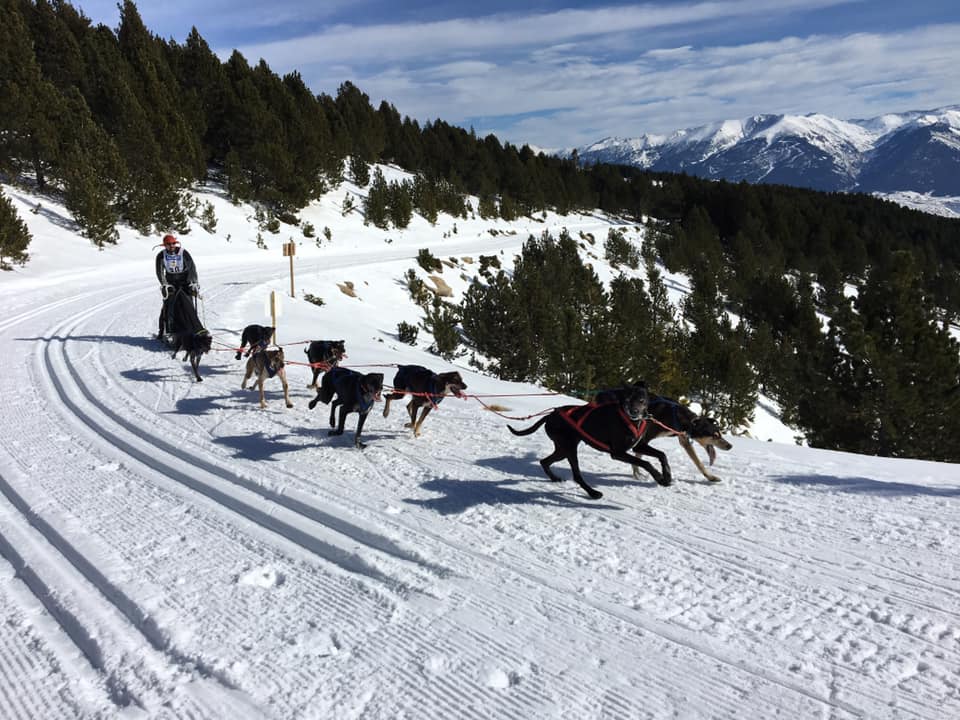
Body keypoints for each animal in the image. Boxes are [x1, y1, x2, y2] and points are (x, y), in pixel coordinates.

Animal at [502, 382, 660, 500]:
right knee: (576, 475)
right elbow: (645, 462)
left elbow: (661, 455)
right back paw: (593, 493)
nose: (633, 411)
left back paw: (555, 478)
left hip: (562, 449)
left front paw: (664, 475)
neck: (631, 421)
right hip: (569, 448)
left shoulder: (637, 446)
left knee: (544, 461)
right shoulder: (618, 453)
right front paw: (660, 478)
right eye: (627, 400)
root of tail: (551, 415)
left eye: (641, 399)